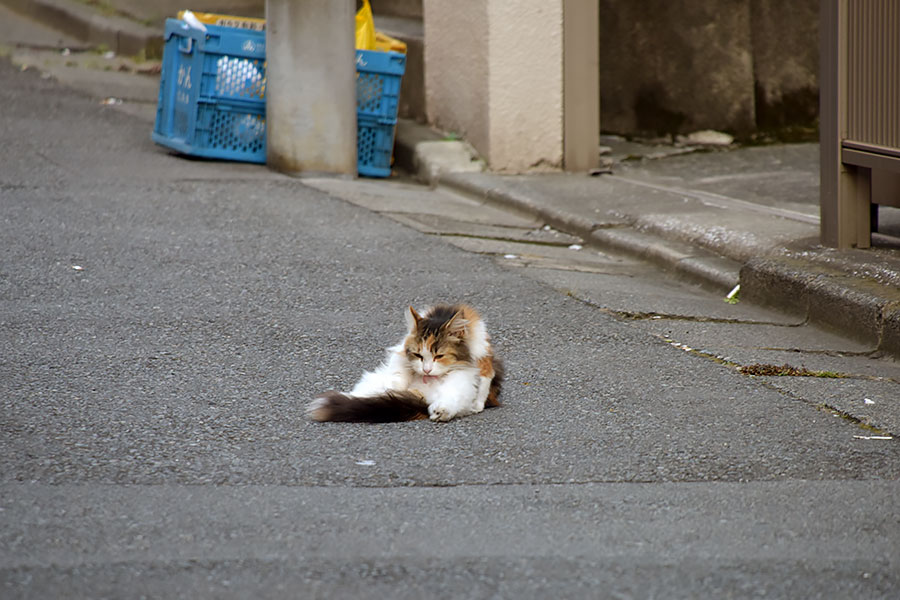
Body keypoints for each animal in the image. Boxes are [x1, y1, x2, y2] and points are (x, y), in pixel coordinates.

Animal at [310, 304, 502, 422]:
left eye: (439, 356)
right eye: (418, 355)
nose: (426, 370)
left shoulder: (468, 372)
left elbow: (454, 394)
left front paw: (441, 411)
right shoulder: (401, 358)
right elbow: (396, 378)